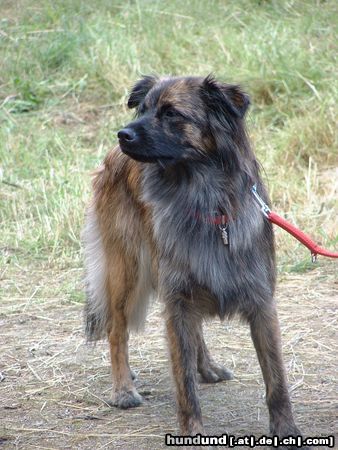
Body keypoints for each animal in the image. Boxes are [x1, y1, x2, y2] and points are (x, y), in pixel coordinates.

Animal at [82, 75, 308, 448]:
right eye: (143, 109)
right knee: (117, 330)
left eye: (172, 113)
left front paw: (286, 429)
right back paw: (123, 388)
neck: (206, 203)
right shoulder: (177, 302)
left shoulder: (261, 304)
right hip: (127, 271)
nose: (122, 133)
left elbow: (276, 380)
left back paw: (207, 367)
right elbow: (184, 386)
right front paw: (193, 431)